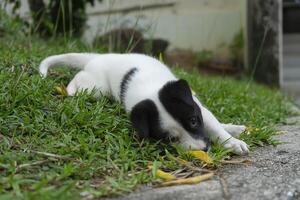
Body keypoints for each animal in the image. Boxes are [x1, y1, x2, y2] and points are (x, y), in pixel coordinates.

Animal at [38, 53, 248, 155]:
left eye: (193, 121)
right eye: (171, 139)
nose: (204, 150)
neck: (152, 91)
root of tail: (99, 57)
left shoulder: (200, 109)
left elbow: (215, 127)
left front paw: (232, 141)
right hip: (96, 87)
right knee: (80, 79)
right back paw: (69, 89)